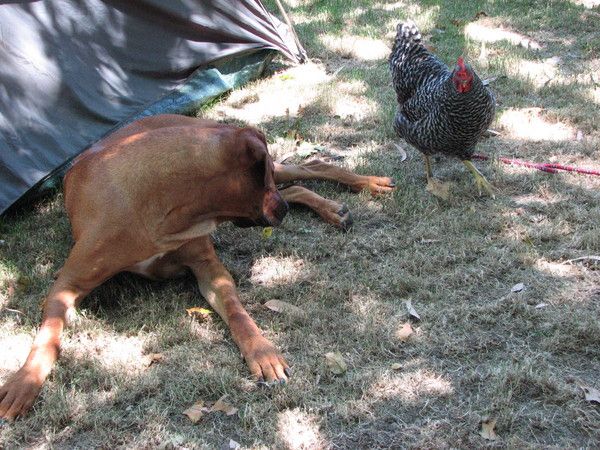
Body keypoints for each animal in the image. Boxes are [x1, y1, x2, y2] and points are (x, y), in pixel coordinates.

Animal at [0, 114, 395, 420]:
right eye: (261, 179)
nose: (280, 212)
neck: (164, 206)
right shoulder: (66, 284)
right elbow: (47, 336)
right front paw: (23, 382)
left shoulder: (209, 269)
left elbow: (237, 313)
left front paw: (261, 351)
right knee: (298, 183)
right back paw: (331, 207)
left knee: (310, 167)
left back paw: (366, 185)